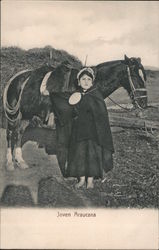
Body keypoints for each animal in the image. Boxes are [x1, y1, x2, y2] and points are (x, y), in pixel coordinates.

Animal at [2, 55, 147, 176]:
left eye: (144, 77)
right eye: (136, 77)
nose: (143, 103)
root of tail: (16, 78)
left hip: (26, 114)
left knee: (19, 133)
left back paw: (20, 161)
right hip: (14, 115)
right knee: (10, 134)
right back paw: (9, 163)